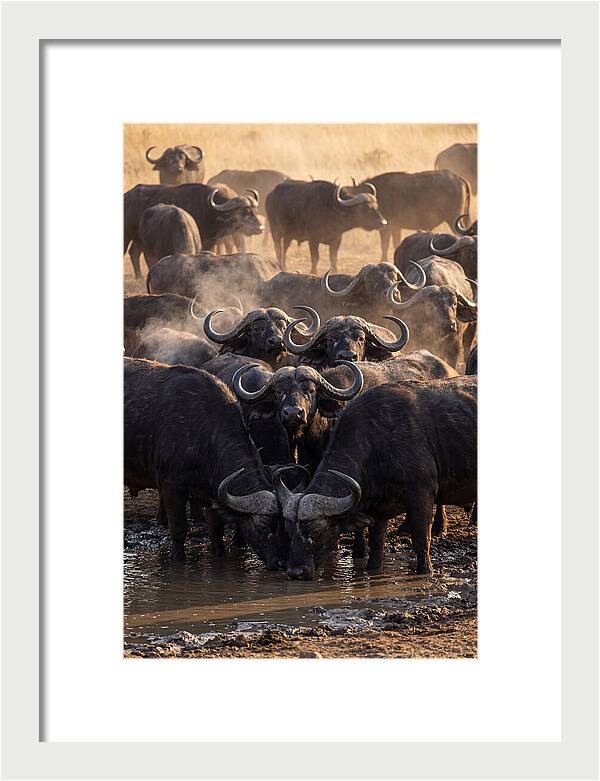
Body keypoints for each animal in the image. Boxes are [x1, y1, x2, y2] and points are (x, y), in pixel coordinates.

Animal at [280, 375, 477, 578]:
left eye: (316, 531)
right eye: (288, 530)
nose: (296, 572)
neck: (376, 444)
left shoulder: (422, 495)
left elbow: (421, 541)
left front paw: (425, 571)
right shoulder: (378, 511)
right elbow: (376, 546)